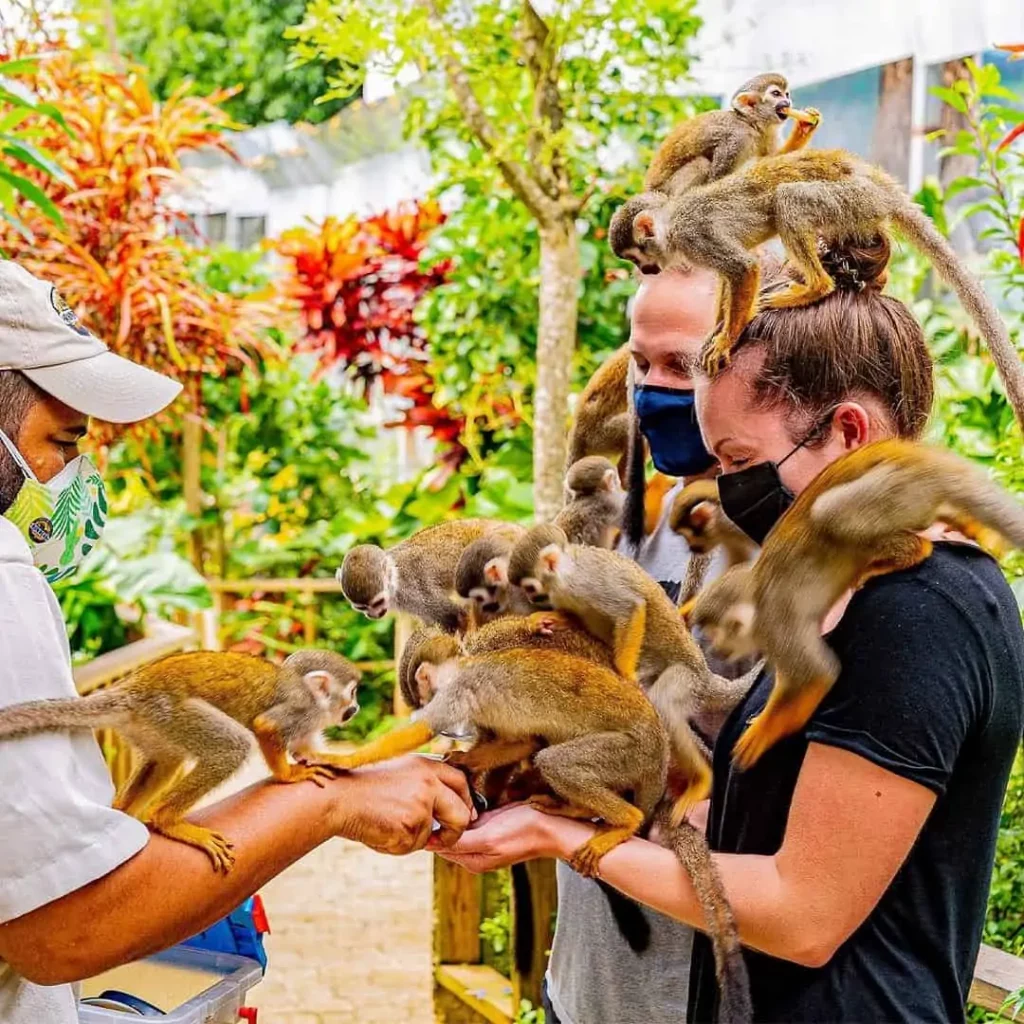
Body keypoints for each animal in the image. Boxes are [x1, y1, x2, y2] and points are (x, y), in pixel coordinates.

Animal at [0, 651, 360, 868]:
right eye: (353, 692)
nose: (355, 708)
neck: (310, 695)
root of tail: (133, 688)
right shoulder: (301, 708)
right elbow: (266, 726)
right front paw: (288, 775)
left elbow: (306, 748)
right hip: (172, 711)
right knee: (233, 744)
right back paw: (167, 819)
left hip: (153, 723)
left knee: (168, 758)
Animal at [339, 520, 520, 630]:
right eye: (361, 608)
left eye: (378, 603)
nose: (372, 615)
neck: (394, 583)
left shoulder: (410, 589)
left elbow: (454, 615)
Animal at [606, 73, 823, 272]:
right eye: (776, 94)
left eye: (787, 94)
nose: (788, 102)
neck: (750, 123)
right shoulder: (736, 138)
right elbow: (717, 178)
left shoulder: (767, 134)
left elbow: (776, 161)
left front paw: (804, 127)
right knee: (701, 164)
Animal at [688, 440, 1024, 770]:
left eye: (718, 635)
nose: (718, 650)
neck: (757, 599)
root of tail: (922, 462)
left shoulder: (775, 621)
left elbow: (817, 674)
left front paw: (762, 732)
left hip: (896, 492)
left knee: (830, 513)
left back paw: (908, 553)